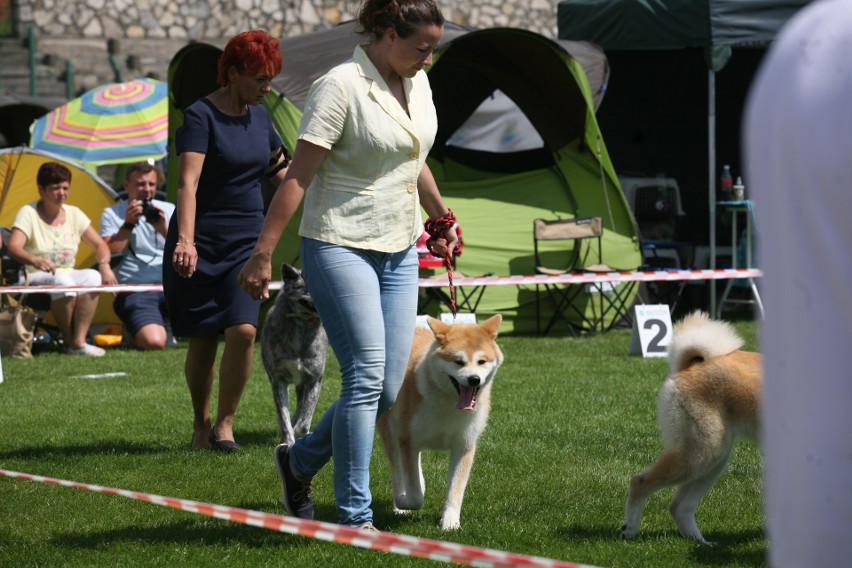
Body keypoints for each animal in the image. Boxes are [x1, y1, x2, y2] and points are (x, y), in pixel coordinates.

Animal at [260, 262, 326, 444]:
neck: (302, 324)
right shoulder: (278, 381)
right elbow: (284, 418)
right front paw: (289, 441)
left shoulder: (314, 379)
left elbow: (305, 419)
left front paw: (299, 431)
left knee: (301, 407)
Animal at [376, 312, 502, 532]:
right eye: (458, 361)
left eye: (482, 361)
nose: (474, 379)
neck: (449, 403)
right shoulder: (407, 438)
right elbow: (415, 494)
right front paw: (404, 501)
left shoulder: (464, 445)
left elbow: (455, 490)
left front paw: (450, 522)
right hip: (390, 428)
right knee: (398, 470)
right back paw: (400, 500)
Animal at [620, 310, 764, 544]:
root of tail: (691, 365)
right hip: (703, 453)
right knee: (640, 482)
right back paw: (629, 530)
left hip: (712, 459)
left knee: (679, 507)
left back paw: (702, 543)